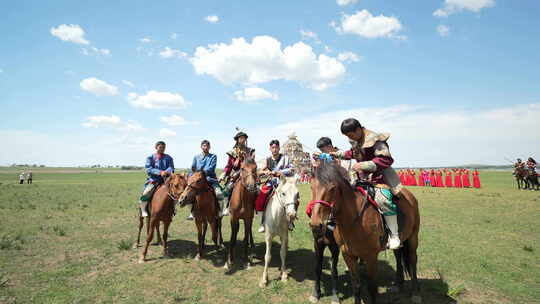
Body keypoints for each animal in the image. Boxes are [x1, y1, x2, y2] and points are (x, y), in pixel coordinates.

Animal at [308, 163, 422, 304]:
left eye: (332, 188)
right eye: (311, 186)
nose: (315, 224)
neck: (353, 220)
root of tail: (409, 196)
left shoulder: (371, 256)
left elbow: (372, 287)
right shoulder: (348, 255)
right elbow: (356, 285)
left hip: (413, 237)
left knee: (412, 260)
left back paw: (415, 293)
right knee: (398, 255)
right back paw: (398, 284)